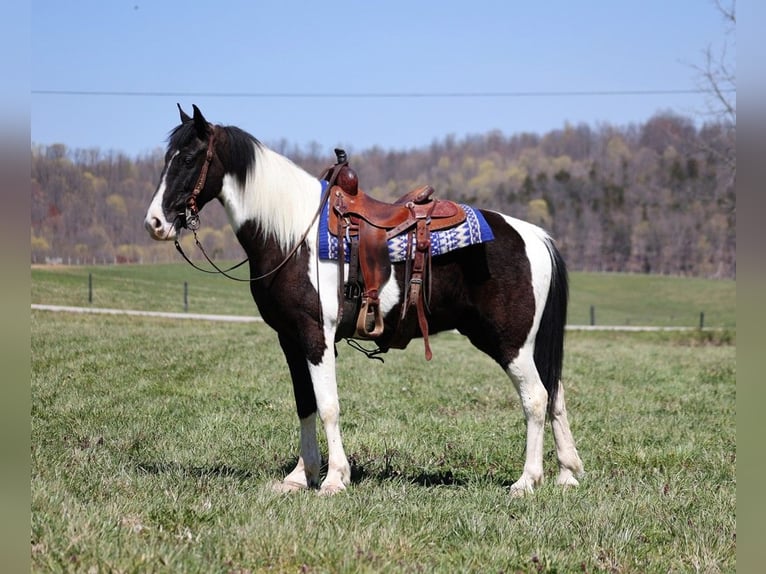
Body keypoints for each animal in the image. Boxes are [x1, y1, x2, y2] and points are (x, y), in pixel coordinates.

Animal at [144, 106, 584, 498]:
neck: (292, 234)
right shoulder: (291, 338)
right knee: (555, 394)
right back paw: (567, 473)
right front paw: (300, 476)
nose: (155, 223)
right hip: (529, 344)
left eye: (189, 158)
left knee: (536, 398)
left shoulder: (316, 335)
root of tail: (536, 237)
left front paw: (335, 479)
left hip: (510, 342)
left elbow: (328, 405)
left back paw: (527, 481)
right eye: (167, 158)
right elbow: (305, 403)